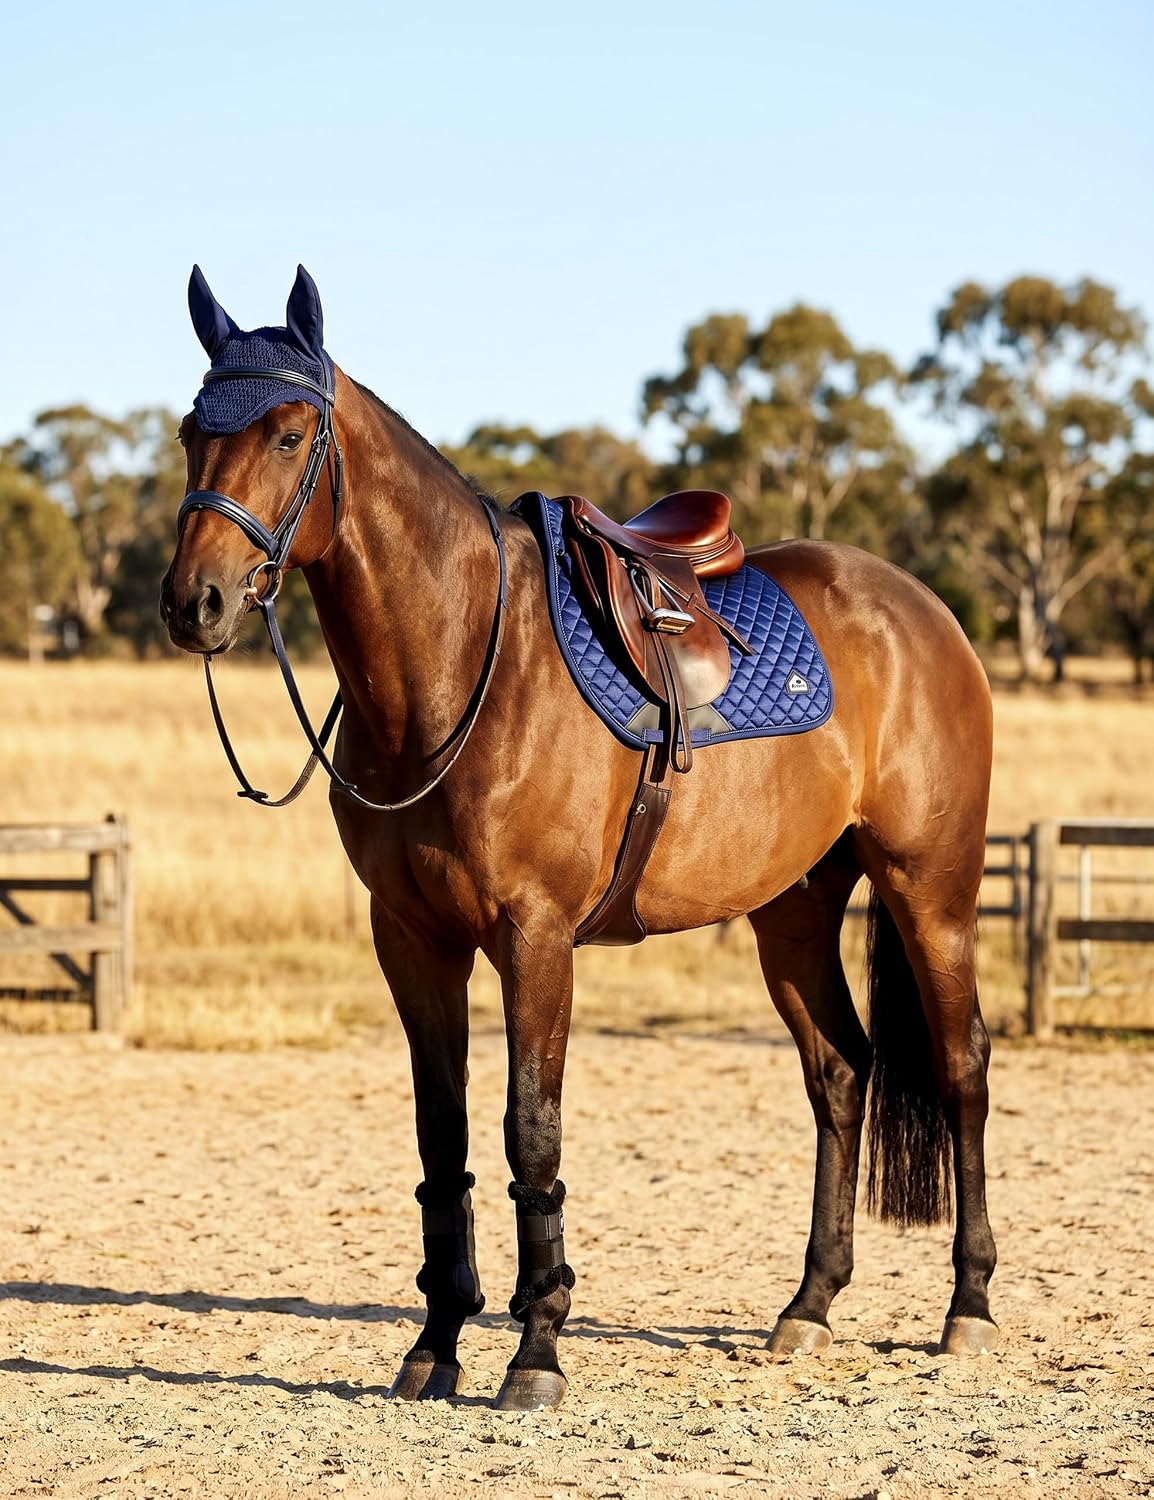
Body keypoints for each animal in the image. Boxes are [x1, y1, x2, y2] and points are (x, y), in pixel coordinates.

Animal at [160, 266, 998, 1410]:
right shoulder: (411, 940)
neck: (460, 667)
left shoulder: (534, 935)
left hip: (929, 890)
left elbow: (531, 1128)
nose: (192, 603)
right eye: (192, 430)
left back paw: (969, 1306)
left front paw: (536, 1348)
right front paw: (437, 1342)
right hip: (792, 910)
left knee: (960, 1067)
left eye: (290, 434)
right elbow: (443, 1133)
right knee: (838, 1071)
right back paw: (808, 1306)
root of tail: (921, 609)